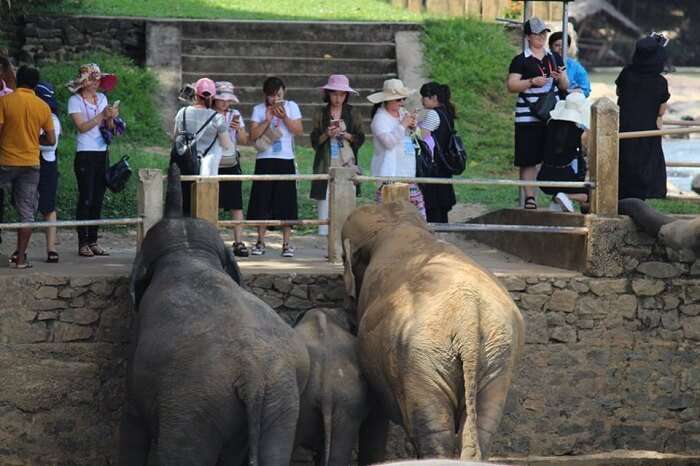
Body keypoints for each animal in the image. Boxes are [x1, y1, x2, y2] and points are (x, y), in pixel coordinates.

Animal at [120, 164, 310, 466]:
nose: (175, 164)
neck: (188, 251)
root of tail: (253, 378)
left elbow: (132, 424)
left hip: (193, 405)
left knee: (183, 455)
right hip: (281, 398)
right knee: (274, 452)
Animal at [341, 201, 525, 462]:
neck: (398, 224)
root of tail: (468, 320)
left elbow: (376, 412)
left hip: (421, 360)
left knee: (434, 433)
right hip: (497, 358)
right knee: (482, 426)